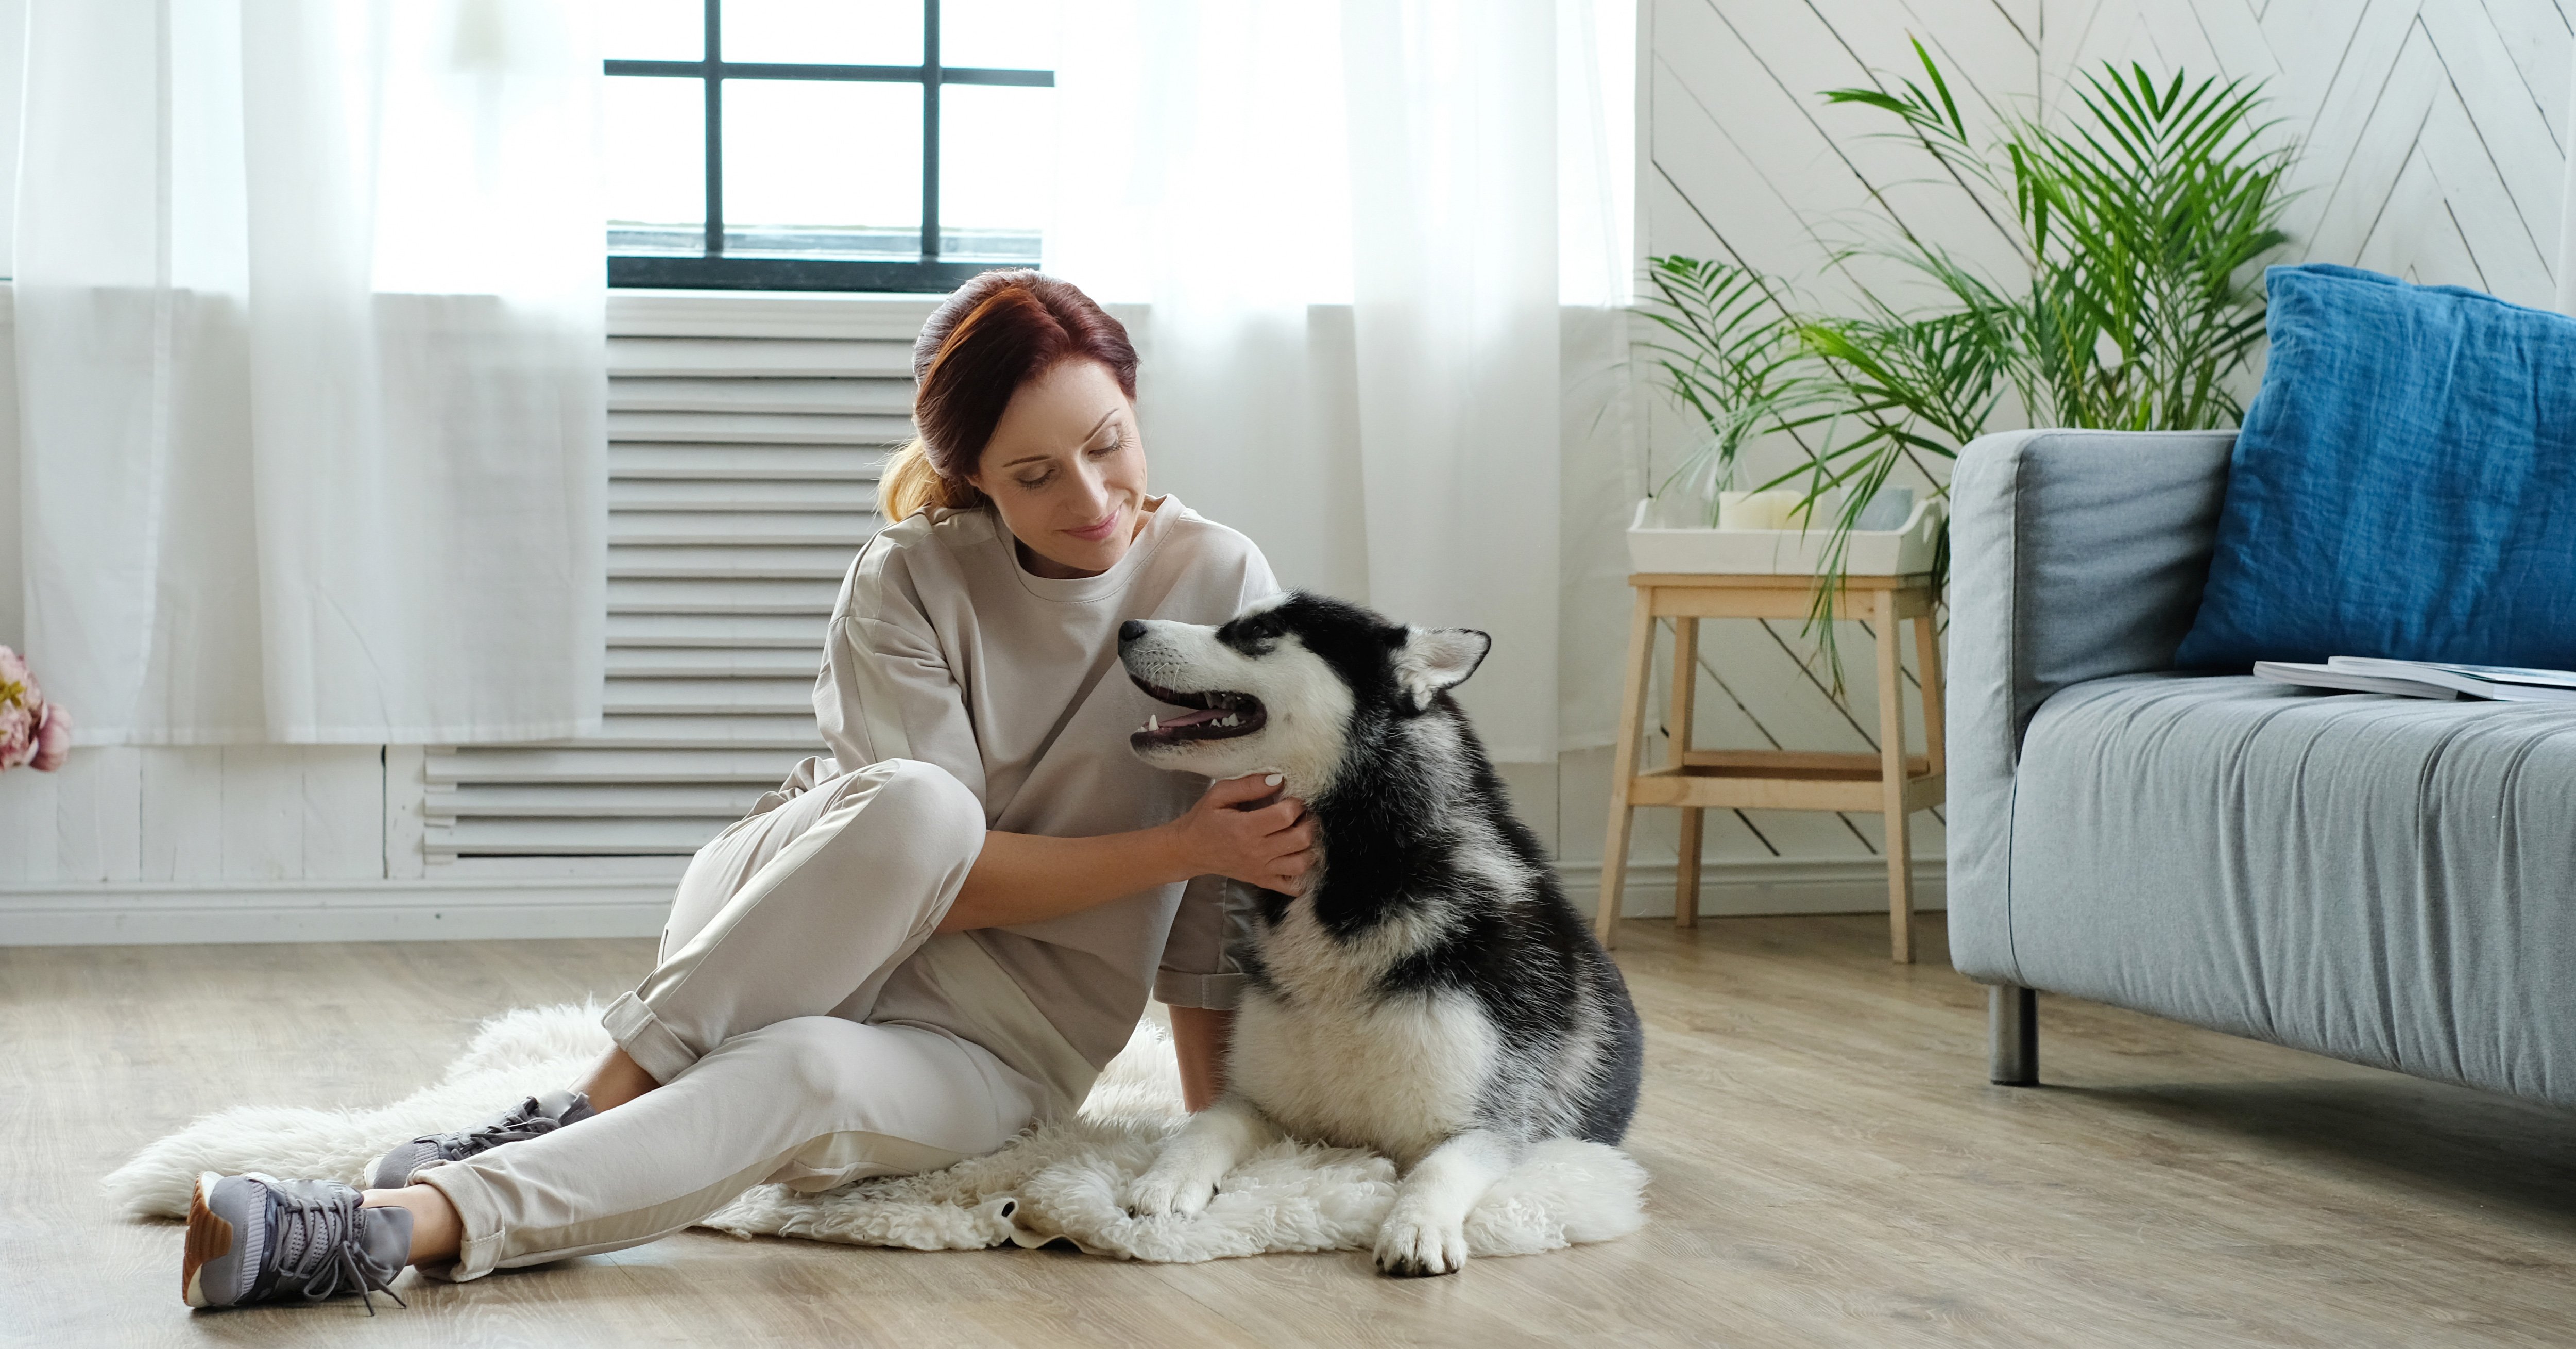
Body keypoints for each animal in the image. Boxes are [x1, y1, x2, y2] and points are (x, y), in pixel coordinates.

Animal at [1113, 591, 1638, 1279]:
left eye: (1258, 630)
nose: (1126, 626)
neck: (1359, 876)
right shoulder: (1260, 1103)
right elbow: (1202, 1127)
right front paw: (1167, 1177)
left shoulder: (1488, 1124)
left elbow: (1441, 1167)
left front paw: (1416, 1225)